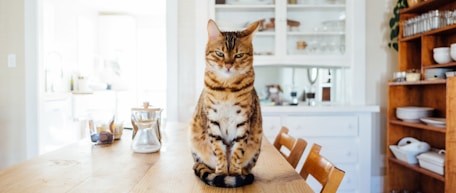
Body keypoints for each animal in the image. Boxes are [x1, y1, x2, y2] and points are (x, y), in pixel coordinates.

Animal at [190, 20, 264, 188]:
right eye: (219, 53)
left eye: (239, 55)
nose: (228, 65)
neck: (227, 89)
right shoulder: (213, 121)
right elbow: (219, 151)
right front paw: (222, 174)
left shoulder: (243, 121)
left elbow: (238, 152)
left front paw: (235, 174)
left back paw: (243, 173)